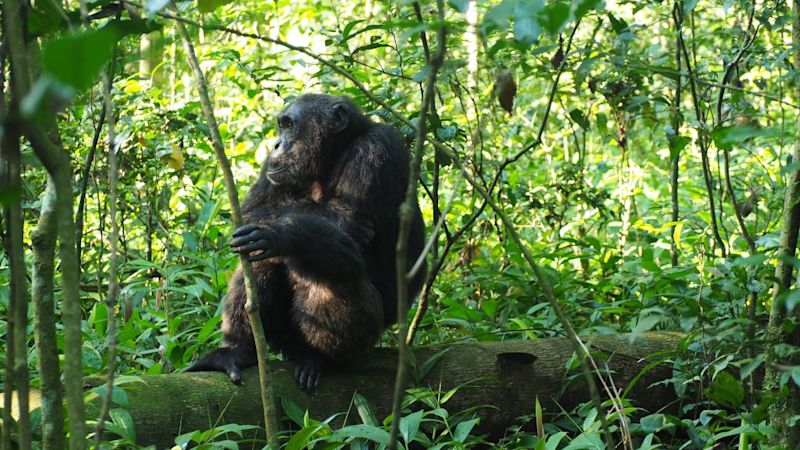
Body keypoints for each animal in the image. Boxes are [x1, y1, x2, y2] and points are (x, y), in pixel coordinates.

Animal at [187, 94, 428, 390]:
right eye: (281, 125)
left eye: (290, 125)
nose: (276, 144)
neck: (332, 155)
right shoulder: (271, 168)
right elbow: (254, 209)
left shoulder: (377, 149)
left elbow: (346, 228)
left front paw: (281, 234)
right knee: (260, 263)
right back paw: (236, 352)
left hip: (365, 340)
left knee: (332, 276)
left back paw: (320, 359)